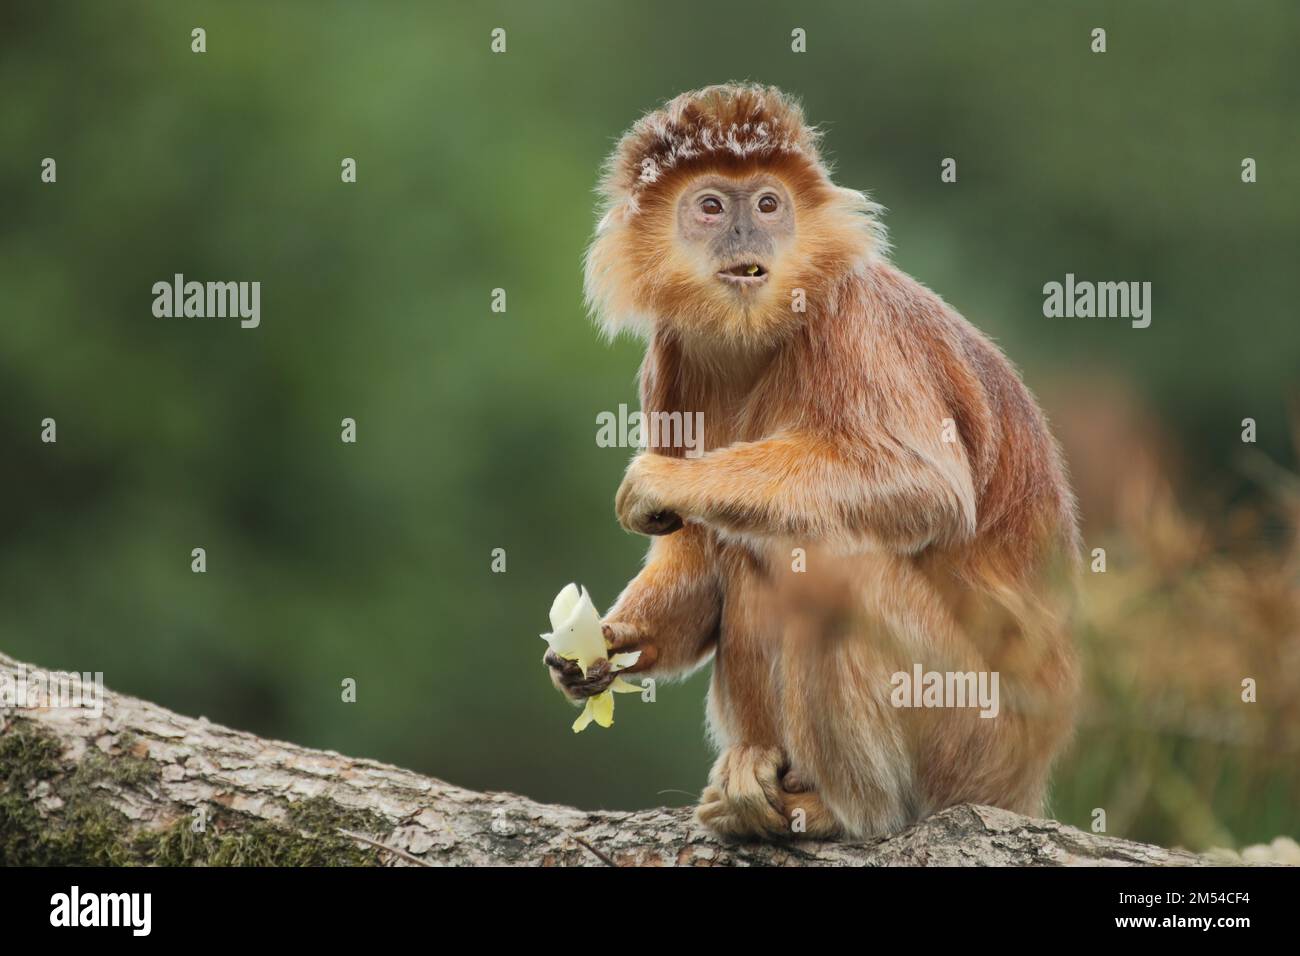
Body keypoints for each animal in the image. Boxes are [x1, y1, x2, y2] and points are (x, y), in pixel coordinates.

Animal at [544, 84, 1080, 841]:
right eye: (713, 206)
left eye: (769, 204)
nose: (749, 236)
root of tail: (1031, 773)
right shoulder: (670, 360)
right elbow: (696, 557)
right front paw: (607, 644)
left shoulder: (854, 319)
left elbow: (926, 487)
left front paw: (662, 481)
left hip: (976, 733)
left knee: (822, 562)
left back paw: (848, 811)